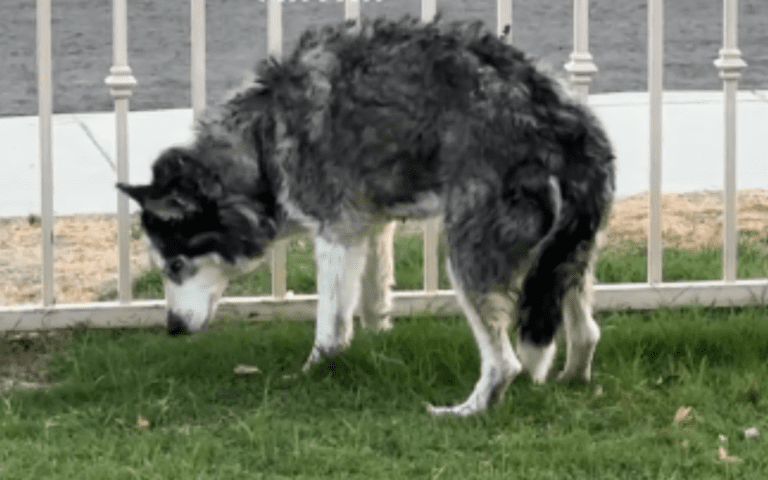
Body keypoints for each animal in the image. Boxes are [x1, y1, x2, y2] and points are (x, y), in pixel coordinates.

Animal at [118, 17, 612, 416]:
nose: (172, 329)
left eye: (175, 265)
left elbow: (330, 328)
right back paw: (570, 381)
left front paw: (309, 374)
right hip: (563, 263)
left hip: (467, 261)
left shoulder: (334, 238)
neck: (262, 139)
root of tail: (565, 124)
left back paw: (464, 412)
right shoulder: (370, 228)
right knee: (587, 334)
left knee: (505, 364)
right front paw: (377, 340)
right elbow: (373, 300)